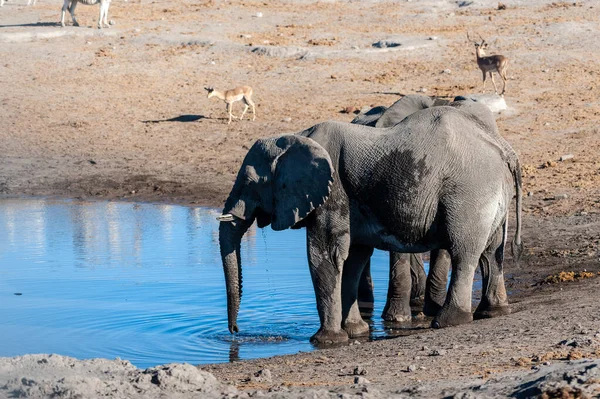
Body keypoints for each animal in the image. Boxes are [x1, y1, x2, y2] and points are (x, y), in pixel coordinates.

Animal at [218, 98, 524, 346]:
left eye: (250, 183)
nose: (234, 332)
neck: (298, 137)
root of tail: (505, 150)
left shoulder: (333, 192)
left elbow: (324, 255)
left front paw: (325, 341)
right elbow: (354, 257)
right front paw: (356, 332)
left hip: (469, 193)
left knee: (464, 252)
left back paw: (449, 321)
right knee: (491, 252)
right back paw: (493, 311)